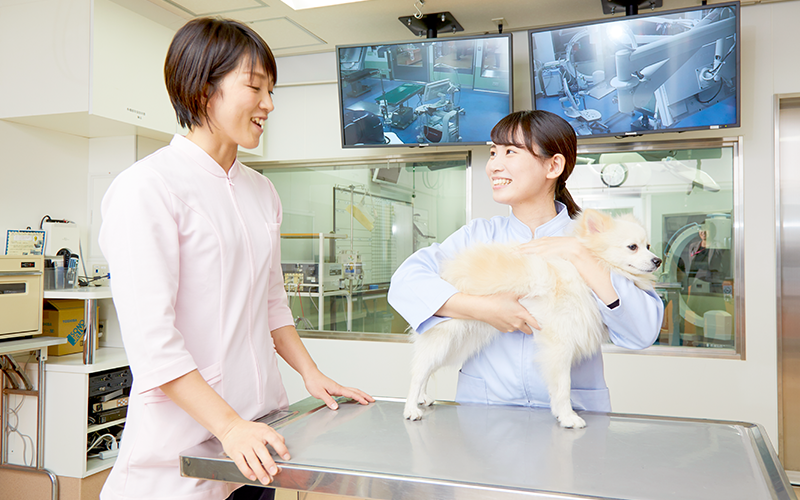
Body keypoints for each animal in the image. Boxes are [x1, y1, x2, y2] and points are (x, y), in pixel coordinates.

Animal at [406, 209, 664, 428]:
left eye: (648, 246)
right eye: (633, 247)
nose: (657, 260)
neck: (581, 273)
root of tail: (444, 273)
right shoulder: (559, 345)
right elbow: (562, 386)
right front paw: (568, 417)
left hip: (462, 343)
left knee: (425, 369)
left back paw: (423, 397)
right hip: (446, 338)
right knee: (418, 371)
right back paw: (411, 407)